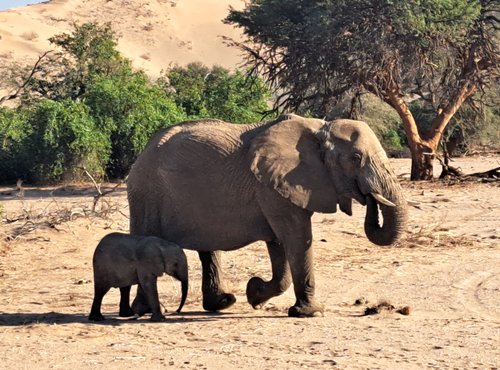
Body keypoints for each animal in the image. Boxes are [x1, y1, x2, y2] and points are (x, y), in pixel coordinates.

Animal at [127, 114, 408, 316]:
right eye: (355, 158)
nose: (369, 197)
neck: (319, 127)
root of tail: (143, 152)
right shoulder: (273, 187)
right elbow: (296, 238)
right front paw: (311, 313)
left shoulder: (278, 186)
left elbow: (279, 244)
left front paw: (255, 294)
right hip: (147, 194)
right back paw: (148, 310)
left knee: (208, 249)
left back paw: (222, 303)